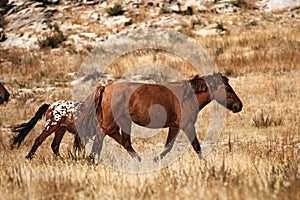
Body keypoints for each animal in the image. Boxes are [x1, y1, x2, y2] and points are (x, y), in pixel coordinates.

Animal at [78, 72, 243, 161]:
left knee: (123, 141)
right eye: (227, 88)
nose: (239, 106)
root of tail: (105, 88)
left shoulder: (175, 126)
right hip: (112, 121)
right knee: (102, 136)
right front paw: (205, 163)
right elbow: (197, 146)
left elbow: (168, 146)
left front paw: (156, 160)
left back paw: (139, 161)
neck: (188, 96)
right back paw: (92, 159)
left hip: (124, 121)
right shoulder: (187, 125)